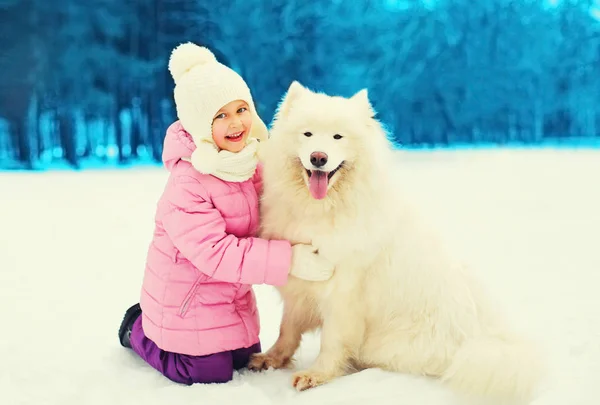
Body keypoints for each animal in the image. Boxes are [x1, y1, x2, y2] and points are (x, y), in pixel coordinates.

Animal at [248, 80, 544, 402]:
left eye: (338, 136)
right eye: (308, 134)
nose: (318, 157)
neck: (323, 210)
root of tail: (481, 337)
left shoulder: (344, 295)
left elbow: (332, 340)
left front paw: (317, 375)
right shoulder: (300, 288)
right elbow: (287, 329)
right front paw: (272, 358)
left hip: (388, 343)